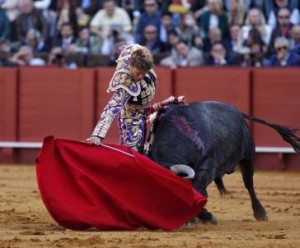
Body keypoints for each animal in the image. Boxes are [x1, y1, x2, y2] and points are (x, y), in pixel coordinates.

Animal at [147, 100, 300, 223]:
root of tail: (237, 112)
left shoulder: (206, 168)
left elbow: (197, 191)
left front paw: (201, 217)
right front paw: (202, 217)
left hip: (247, 158)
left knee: (249, 185)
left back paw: (260, 213)